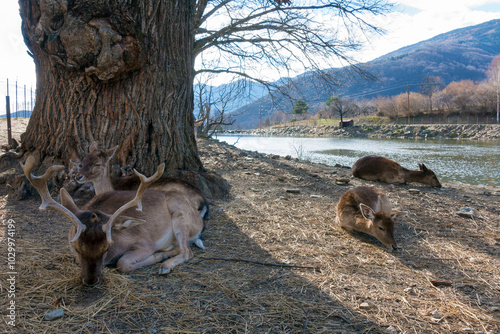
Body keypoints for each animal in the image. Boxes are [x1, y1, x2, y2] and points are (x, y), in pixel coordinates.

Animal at [21, 156, 205, 284]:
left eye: (106, 248)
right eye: (76, 248)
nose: (90, 281)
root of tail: (199, 218)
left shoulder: (145, 242)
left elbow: (122, 263)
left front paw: (156, 257)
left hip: (179, 214)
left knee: (187, 251)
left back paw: (165, 264)